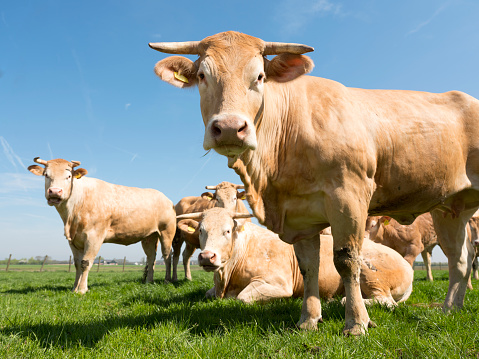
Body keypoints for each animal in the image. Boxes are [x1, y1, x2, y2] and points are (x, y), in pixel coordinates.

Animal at [26, 159, 176, 294]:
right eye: (46, 175)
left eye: (68, 176)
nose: (55, 192)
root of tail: (166, 199)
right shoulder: (73, 240)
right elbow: (77, 264)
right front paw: (74, 288)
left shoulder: (94, 236)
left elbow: (85, 263)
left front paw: (82, 290)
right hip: (149, 236)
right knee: (151, 257)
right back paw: (149, 281)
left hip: (166, 231)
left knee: (167, 255)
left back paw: (167, 280)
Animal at [176, 210, 412, 308]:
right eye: (201, 231)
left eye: (227, 231)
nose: (207, 256)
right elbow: (208, 294)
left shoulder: (278, 283)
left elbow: (242, 298)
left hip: (371, 275)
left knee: (387, 302)